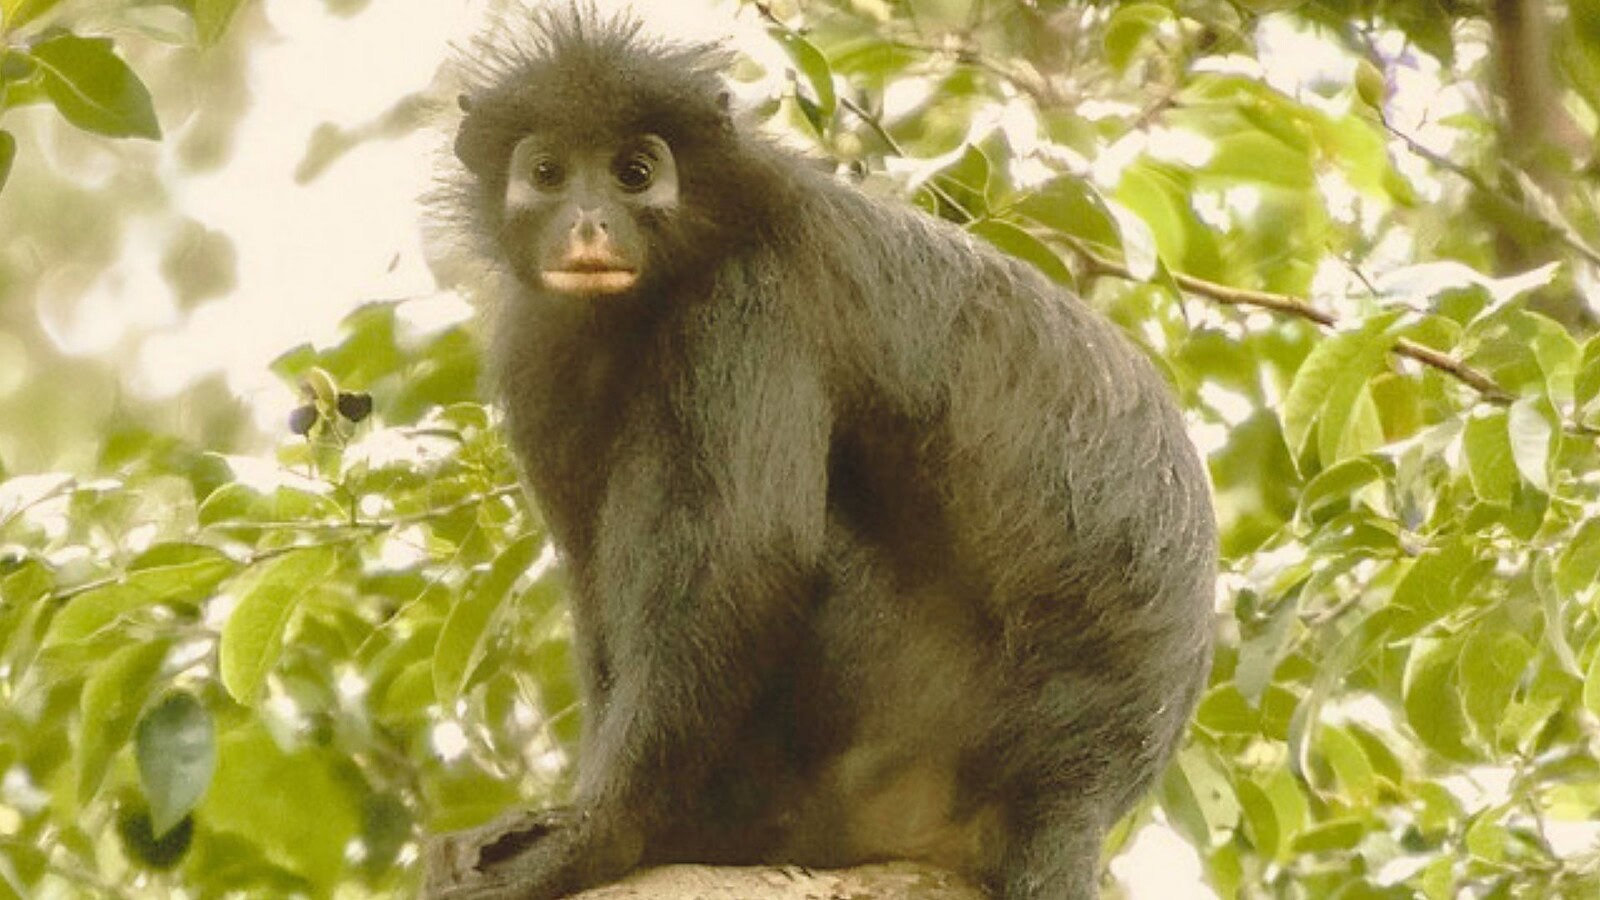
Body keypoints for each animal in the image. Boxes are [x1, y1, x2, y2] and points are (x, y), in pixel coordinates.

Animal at [424, 7, 1215, 900]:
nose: (589, 223)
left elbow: (748, 556)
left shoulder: (753, 297)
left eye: (634, 173)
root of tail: (1077, 785)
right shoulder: (539, 345)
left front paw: (600, 833)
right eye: (548, 172)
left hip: (901, 719)